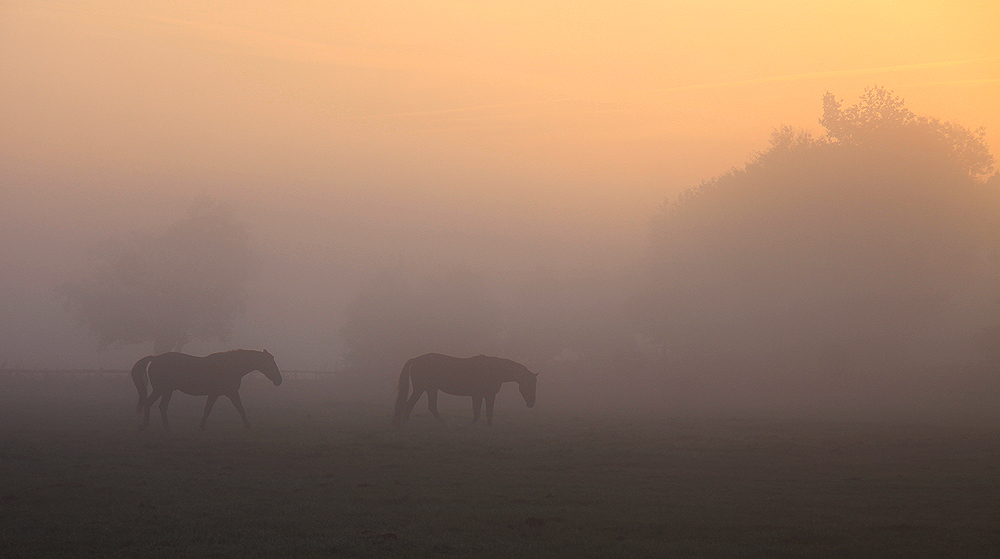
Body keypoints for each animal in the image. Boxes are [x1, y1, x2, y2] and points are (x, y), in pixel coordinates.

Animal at [131, 350, 282, 434]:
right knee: (156, 404)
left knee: (155, 404)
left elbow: (208, 409)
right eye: (271, 363)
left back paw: (154, 427)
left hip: (163, 390)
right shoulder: (231, 392)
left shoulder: (215, 394)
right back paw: (158, 427)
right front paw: (249, 426)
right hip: (164, 389)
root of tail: (155, 358)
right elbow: (240, 408)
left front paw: (202, 426)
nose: (279, 380)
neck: (231, 365)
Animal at [390, 354, 536, 428]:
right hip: (426, 388)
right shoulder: (477, 395)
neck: (493, 369)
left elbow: (489, 413)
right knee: (424, 405)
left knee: (414, 404)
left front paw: (489, 427)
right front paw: (464, 425)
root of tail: (416, 360)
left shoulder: (489, 395)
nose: (532, 403)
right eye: (529, 385)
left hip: (426, 388)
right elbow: (477, 414)